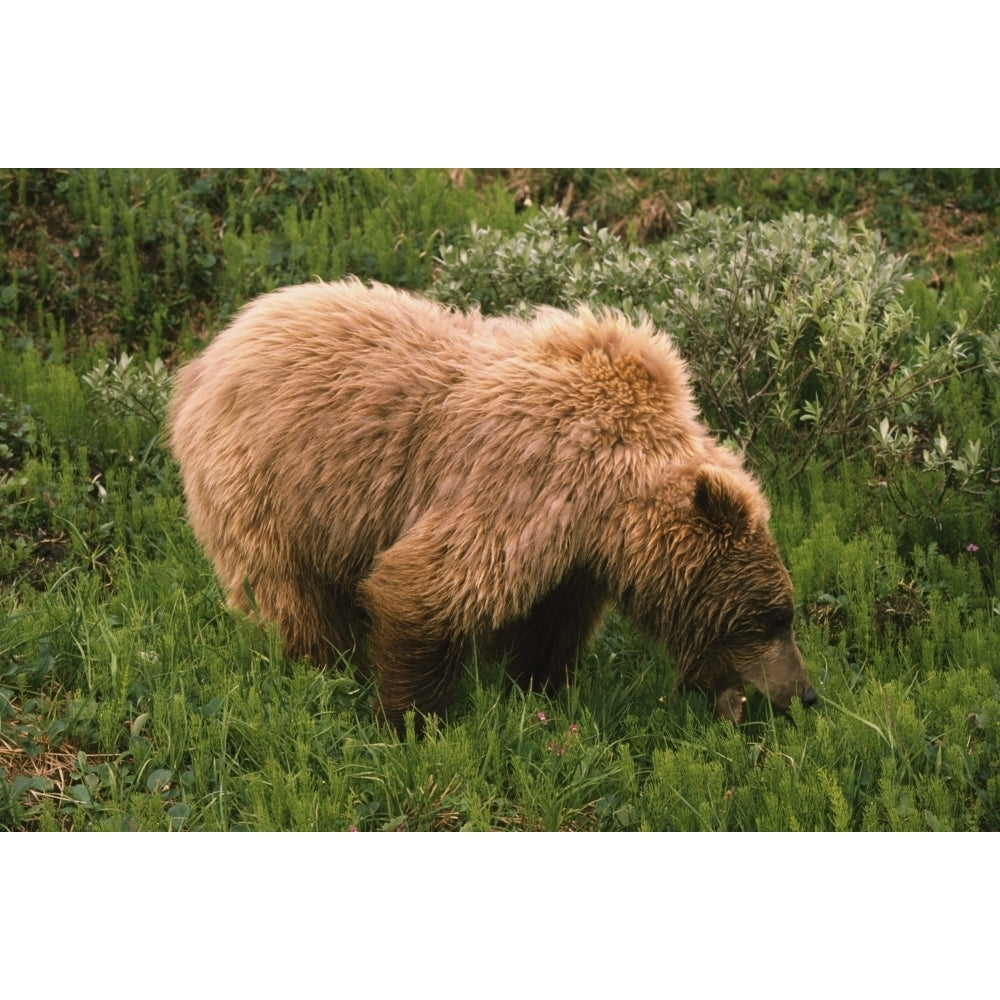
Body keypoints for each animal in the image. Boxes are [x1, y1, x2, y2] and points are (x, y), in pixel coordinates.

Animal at [168, 280, 816, 728]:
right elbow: (427, 587)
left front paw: (537, 687)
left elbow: (551, 622)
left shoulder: (576, 552)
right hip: (270, 485)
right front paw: (410, 718)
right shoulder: (526, 479)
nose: (806, 694)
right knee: (293, 593)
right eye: (772, 617)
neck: (609, 502)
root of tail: (209, 352)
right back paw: (324, 667)